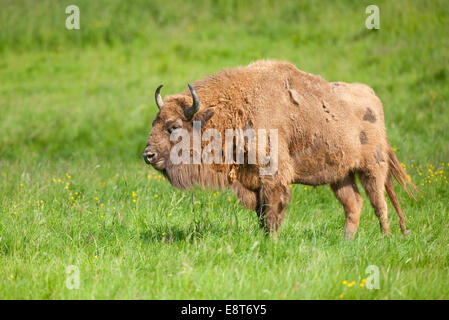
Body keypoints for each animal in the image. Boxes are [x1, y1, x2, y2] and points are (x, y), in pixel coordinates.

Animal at [144, 60, 416, 239]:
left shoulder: (273, 178)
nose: (148, 155)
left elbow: (272, 212)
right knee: (354, 204)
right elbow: (261, 213)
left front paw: (271, 241)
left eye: (174, 126)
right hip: (340, 176)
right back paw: (346, 240)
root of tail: (372, 98)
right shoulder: (252, 181)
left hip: (372, 168)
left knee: (379, 203)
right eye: (155, 121)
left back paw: (386, 237)